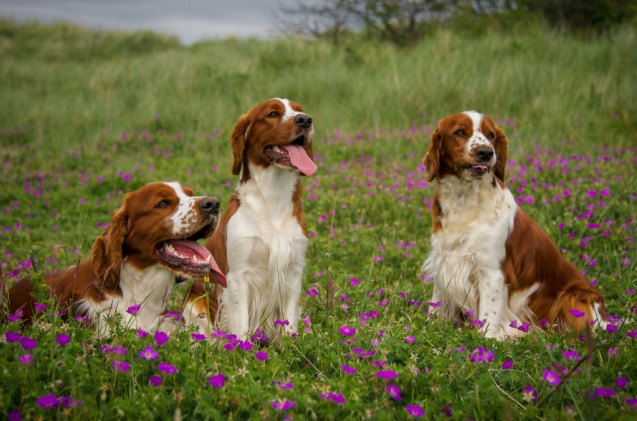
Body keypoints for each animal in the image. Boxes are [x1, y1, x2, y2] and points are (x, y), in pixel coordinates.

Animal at [422, 110, 608, 338]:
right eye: (460, 132)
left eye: (491, 135)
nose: (486, 152)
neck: (465, 201)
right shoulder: (444, 260)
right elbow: (436, 303)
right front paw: (431, 327)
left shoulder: (492, 271)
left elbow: (489, 315)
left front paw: (488, 338)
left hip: (573, 296)